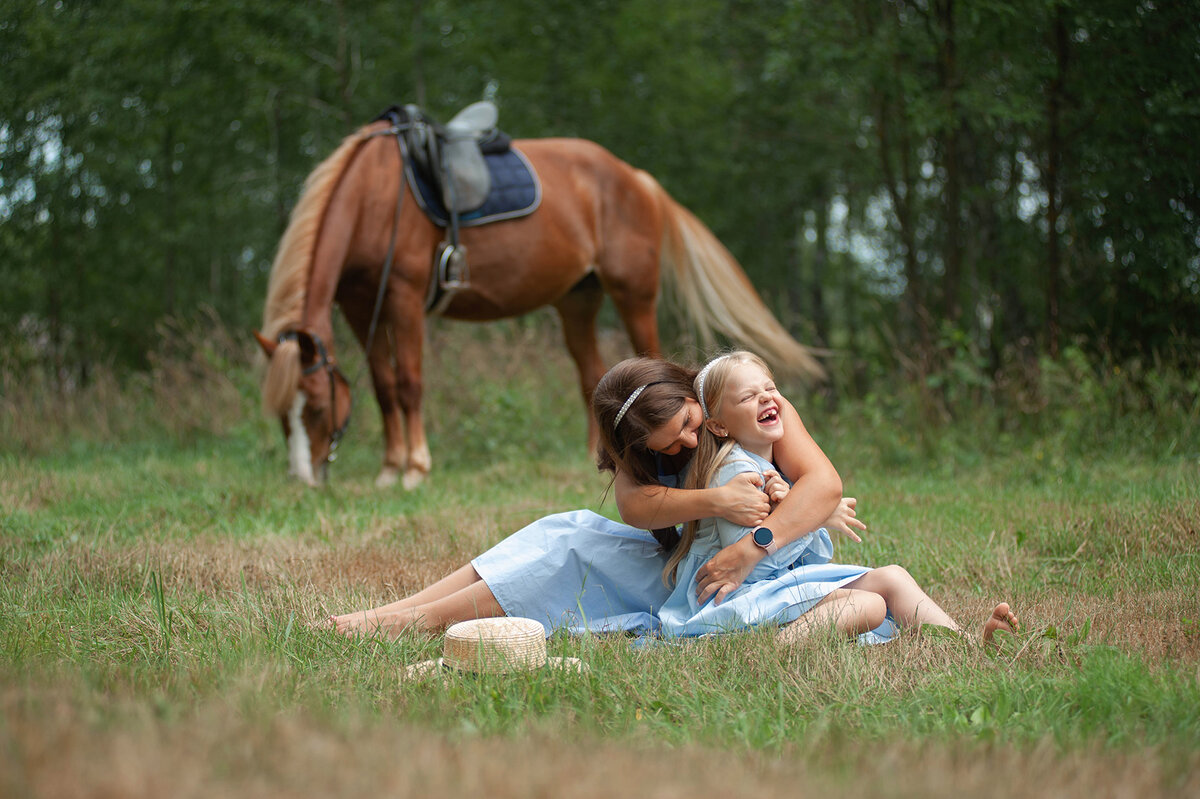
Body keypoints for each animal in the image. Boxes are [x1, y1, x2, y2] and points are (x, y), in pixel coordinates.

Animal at [256, 118, 820, 484]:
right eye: (282, 414)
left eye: (317, 407)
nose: (303, 479)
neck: (376, 193)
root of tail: (636, 177)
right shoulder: (358, 302)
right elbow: (383, 385)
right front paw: (390, 468)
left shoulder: (403, 296)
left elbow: (410, 383)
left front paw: (415, 469)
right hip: (577, 302)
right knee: (592, 377)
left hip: (633, 295)